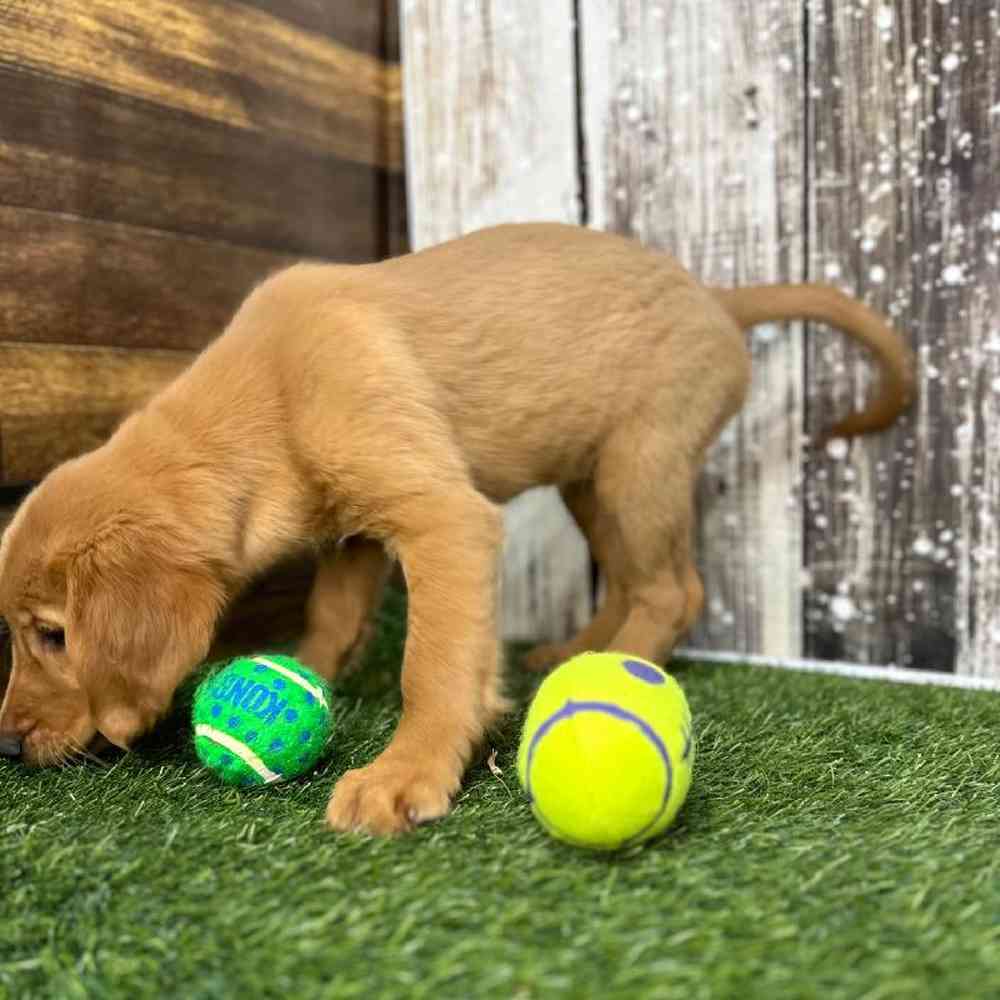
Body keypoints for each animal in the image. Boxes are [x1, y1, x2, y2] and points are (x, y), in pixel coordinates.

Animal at [0, 225, 916, 836]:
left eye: (53, 635)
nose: (6, 745)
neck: (269, 398)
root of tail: (716, 297)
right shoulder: (353, 532)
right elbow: (332, 616)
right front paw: (306, 671)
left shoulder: (444, 517)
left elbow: (434, 666)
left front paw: (406, 772)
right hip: (591, 476)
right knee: (626, 577)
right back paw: (572, 651)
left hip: (641, 461)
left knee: (670, 587)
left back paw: (624, 666)